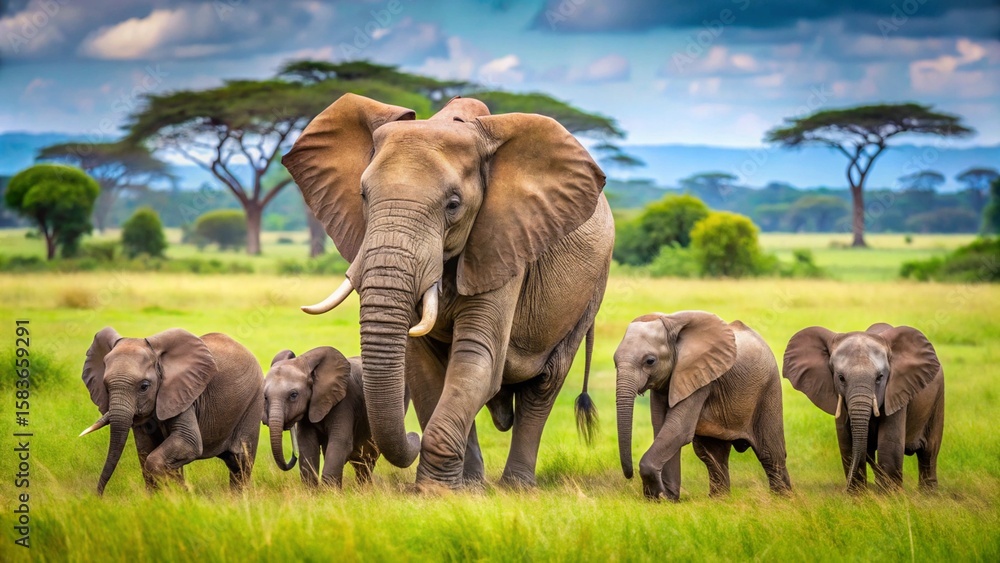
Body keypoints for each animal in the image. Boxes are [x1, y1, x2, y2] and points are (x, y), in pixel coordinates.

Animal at [80, 327, 264, 494]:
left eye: (144, 386)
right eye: (106, 387)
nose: (98, 496)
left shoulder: (185, 395)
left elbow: (187, 442)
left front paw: (183, 493)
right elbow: (145, 450)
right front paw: (158, 499)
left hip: (254, 401)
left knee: (240, 460)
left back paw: (238, 499)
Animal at [263, 347, 383, 488]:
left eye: (293, 395)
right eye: (265, 397)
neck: (304, 362)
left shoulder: (345, 401)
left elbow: (340, 442)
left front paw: (330, 491)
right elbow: (307, 444)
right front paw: (312, 491)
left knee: (368, 459)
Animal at [282, 94, 614, 489]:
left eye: (453, 205)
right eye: (362, 195)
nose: (412, 437)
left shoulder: (503, 242)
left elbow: (476, 356)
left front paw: (434, 491)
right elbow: (425, 369)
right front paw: (459, 490)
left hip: (590, 290)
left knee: (545, 383)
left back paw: (516, 486)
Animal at [615, 311, 792, 500]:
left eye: (650, 361)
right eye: (615, 361)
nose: (629, 475)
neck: (671, 323)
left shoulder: (701, 376)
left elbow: (678, 430)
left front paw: (658, 496)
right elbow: (663, 429)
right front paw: (668, 498)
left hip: (768, 389)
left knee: (770, 453)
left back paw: (783, 499)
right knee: (712, 455)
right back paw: (719, 499)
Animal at [783, 322, 944, 492]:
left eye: (880, 378)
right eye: (841, 378)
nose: (844, 490)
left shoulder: (897, 391)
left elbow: (889, 444)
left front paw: (891, 495)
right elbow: (847, 443)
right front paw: (857, 495)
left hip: (938, 398)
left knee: (929, 451)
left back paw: (928, 493)